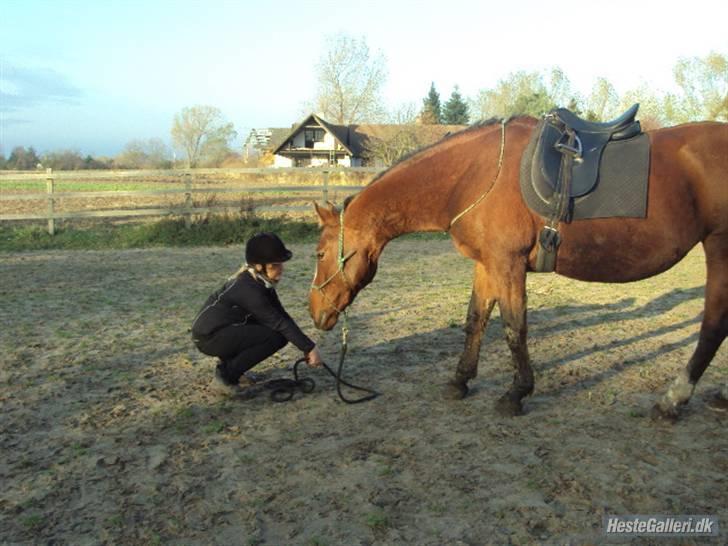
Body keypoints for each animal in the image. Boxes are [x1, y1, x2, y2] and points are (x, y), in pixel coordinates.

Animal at [308, 116, 728, 420]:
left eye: (319, 253)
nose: (316, 313)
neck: (474, 175)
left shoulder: (507, 264)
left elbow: (514, 328)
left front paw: (516, 393)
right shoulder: (487, 264)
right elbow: (475, 320)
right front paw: (460, 381)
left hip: (720, 249)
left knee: (713, 327)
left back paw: (673, 400)